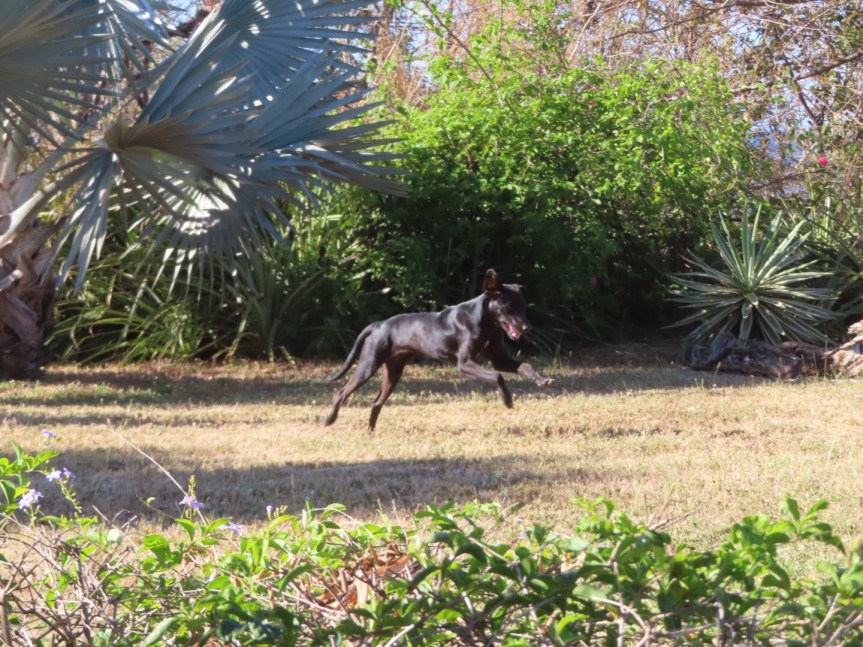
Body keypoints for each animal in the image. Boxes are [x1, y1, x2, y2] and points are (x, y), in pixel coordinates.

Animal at [324, 269, 555, 431]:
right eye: (508, 308)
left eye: (523, 306)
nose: (527, 328)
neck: (485, 322)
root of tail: (378, 325)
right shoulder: (465, 363)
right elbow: (497, 376)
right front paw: (507, 401)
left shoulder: (499, 358)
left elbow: (525, 366)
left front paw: (542, 380)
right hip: (368, 364)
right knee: (342, 392)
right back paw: (329, 419)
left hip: (393, 371)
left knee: (376, 403)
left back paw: (370, 432)